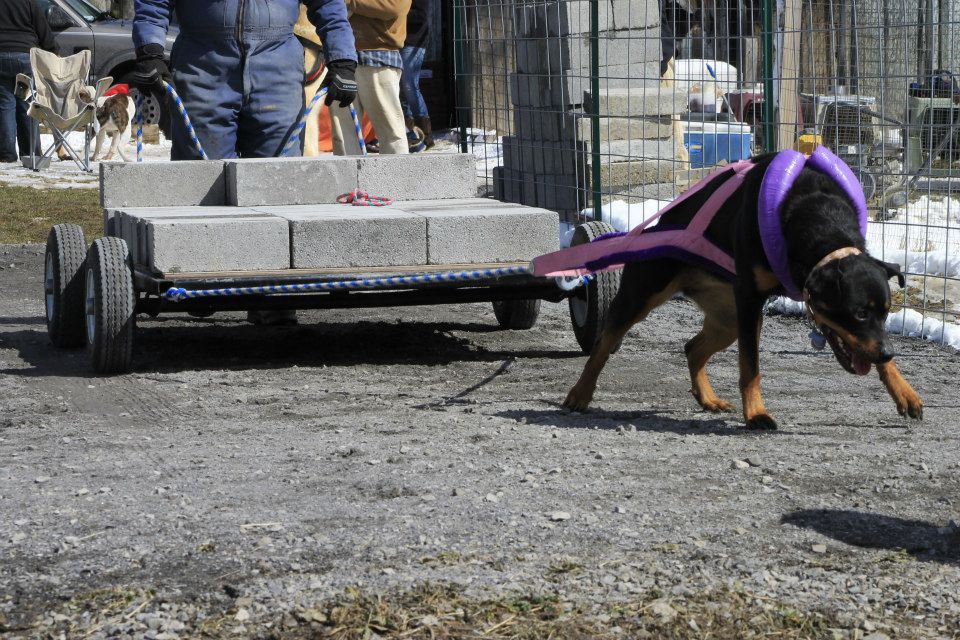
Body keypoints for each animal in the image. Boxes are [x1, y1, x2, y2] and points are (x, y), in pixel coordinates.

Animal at [564, 152, 924, 428]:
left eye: (885, 313)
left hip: (728, 319)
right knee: (604, 342)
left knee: (692, 348)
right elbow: (750, 366)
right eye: (858, 313)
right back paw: (579, 393)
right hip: (644, 294)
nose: (889, 352)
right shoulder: (751, 300)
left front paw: (904, 391)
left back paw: (708, 399)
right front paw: (756, 414)